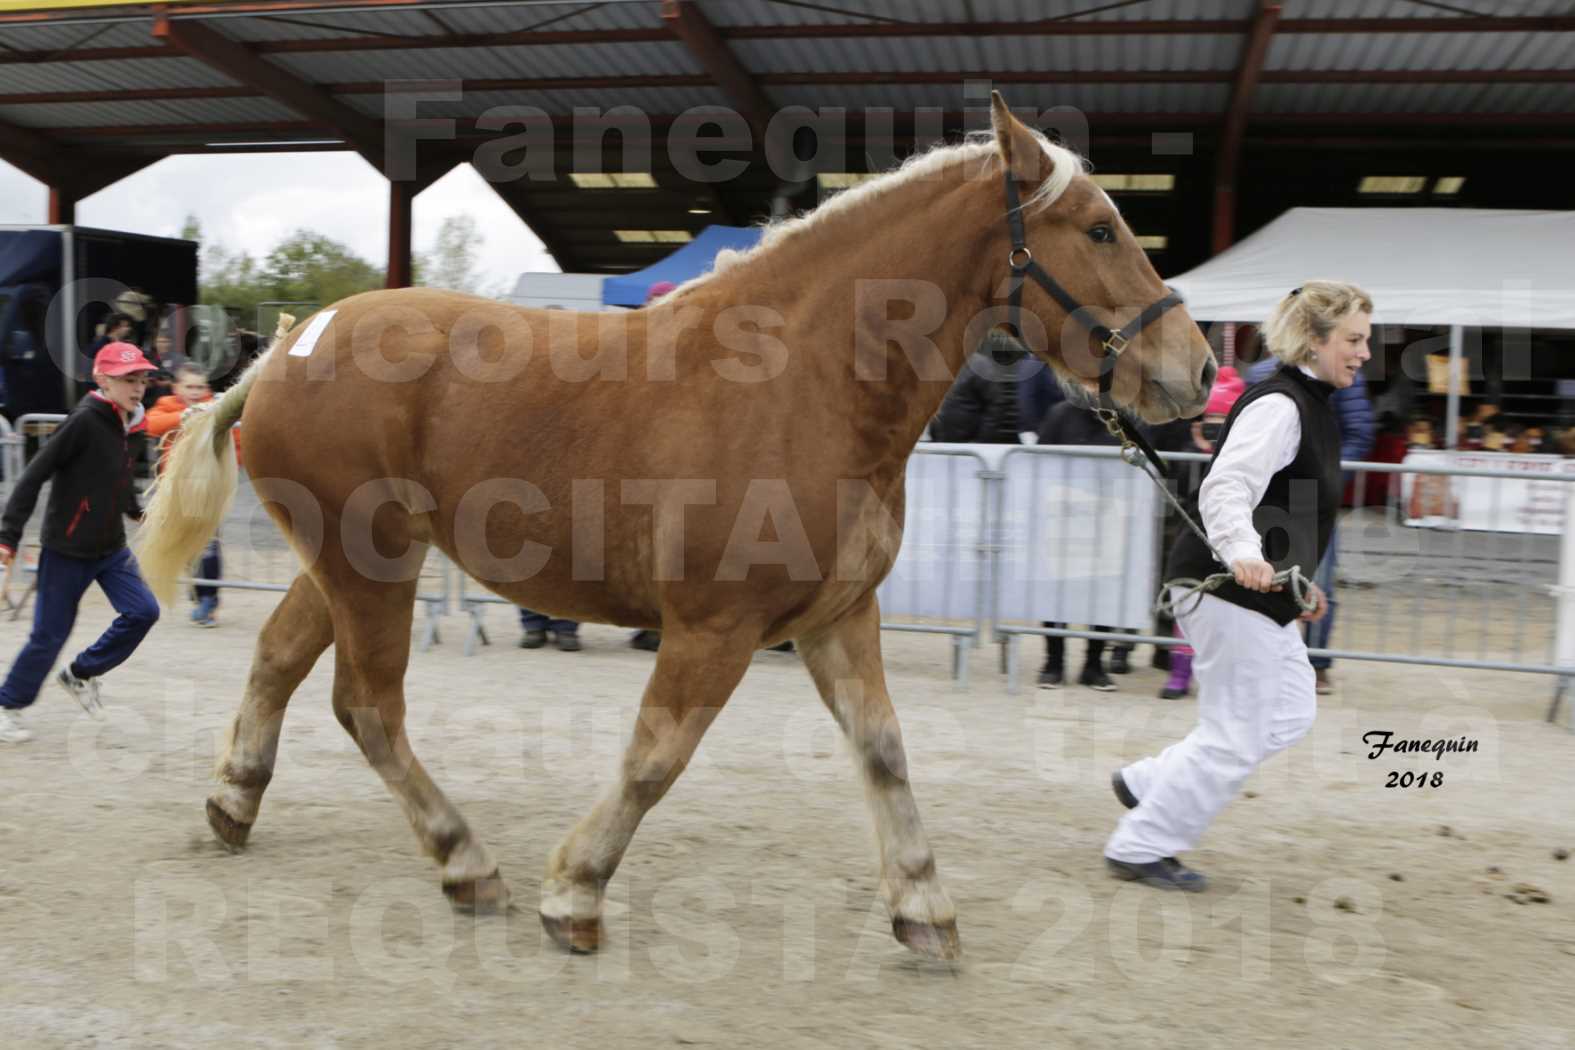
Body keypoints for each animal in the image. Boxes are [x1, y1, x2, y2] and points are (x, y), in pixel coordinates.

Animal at [138, 98, 1215, 963]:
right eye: (1101, 228)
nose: (1197, 370)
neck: (805, 383)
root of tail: (284, 347)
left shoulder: (838, 618)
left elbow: (883, 752)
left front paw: (924, 908)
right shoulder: (714, 628)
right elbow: (656, 757)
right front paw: (574, 895)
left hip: (351, 563)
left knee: (280, 659)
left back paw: (235, 802)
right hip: (372, 567)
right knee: (368, 708)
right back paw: (465, 860)